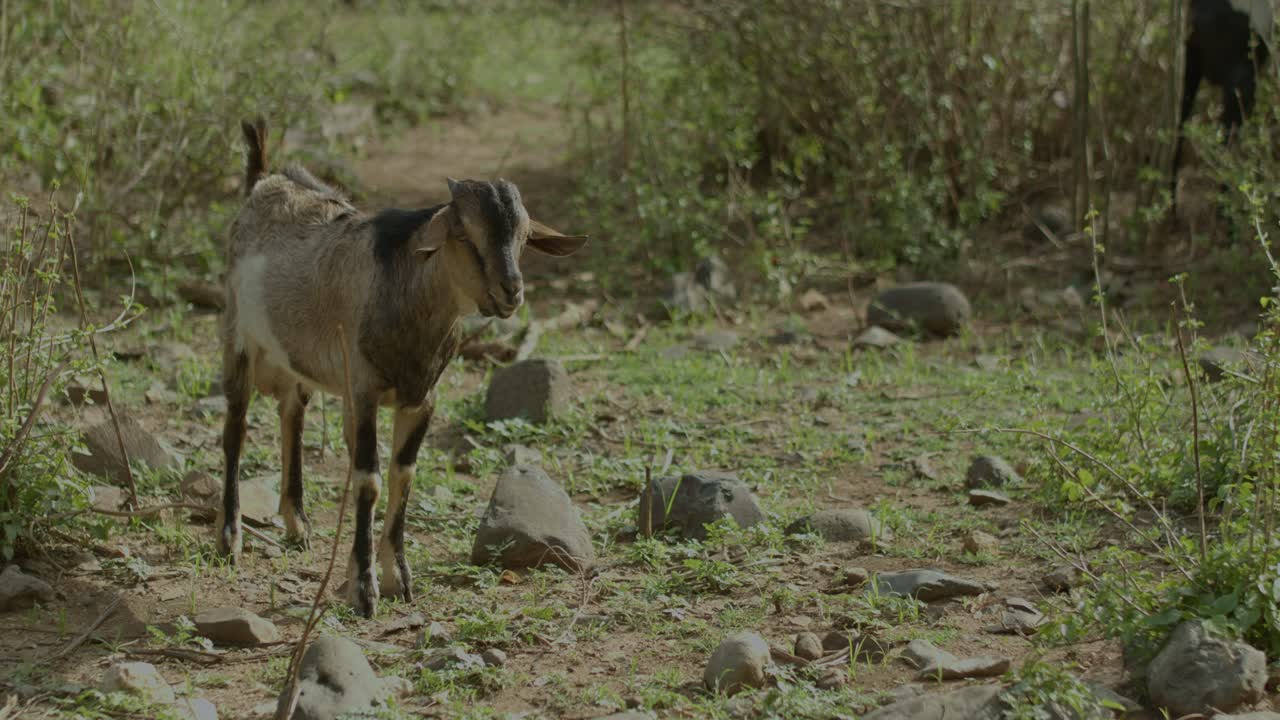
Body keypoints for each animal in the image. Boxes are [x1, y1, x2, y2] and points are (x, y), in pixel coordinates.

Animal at [218, 119, 588, 617]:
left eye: (525, 238)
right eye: (463, 236)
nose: (511, 291)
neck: (403, 292)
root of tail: (262, 178)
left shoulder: (421, 399)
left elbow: (403, 474)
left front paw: (399, 577)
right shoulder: (364, 393)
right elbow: (368, 478)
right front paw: (364, 587)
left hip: (295, 357)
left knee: (291, 413)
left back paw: (298, 524)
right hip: (238, 337)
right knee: (235, 429)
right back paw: (230, 538)